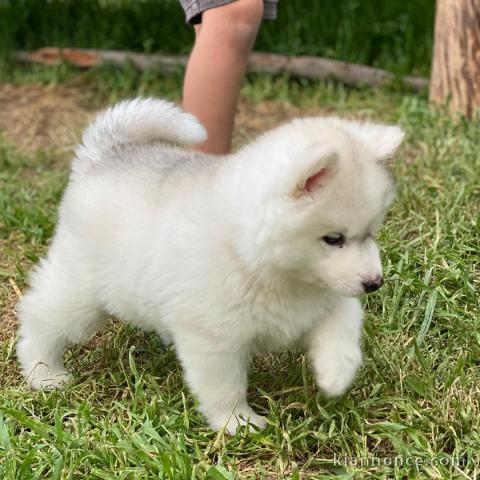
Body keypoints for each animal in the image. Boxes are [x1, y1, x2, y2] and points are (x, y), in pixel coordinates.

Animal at [16, 98, 404, 436]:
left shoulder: (327, 297)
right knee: (41, 317)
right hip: (80, 295)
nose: (375, 283)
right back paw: (43, 373)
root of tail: (104, 155)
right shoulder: (214, 339)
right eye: (333, 238)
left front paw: (336, 373)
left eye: (371, 232)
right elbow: (224, 386)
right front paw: (237, 423)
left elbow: (342, 327)